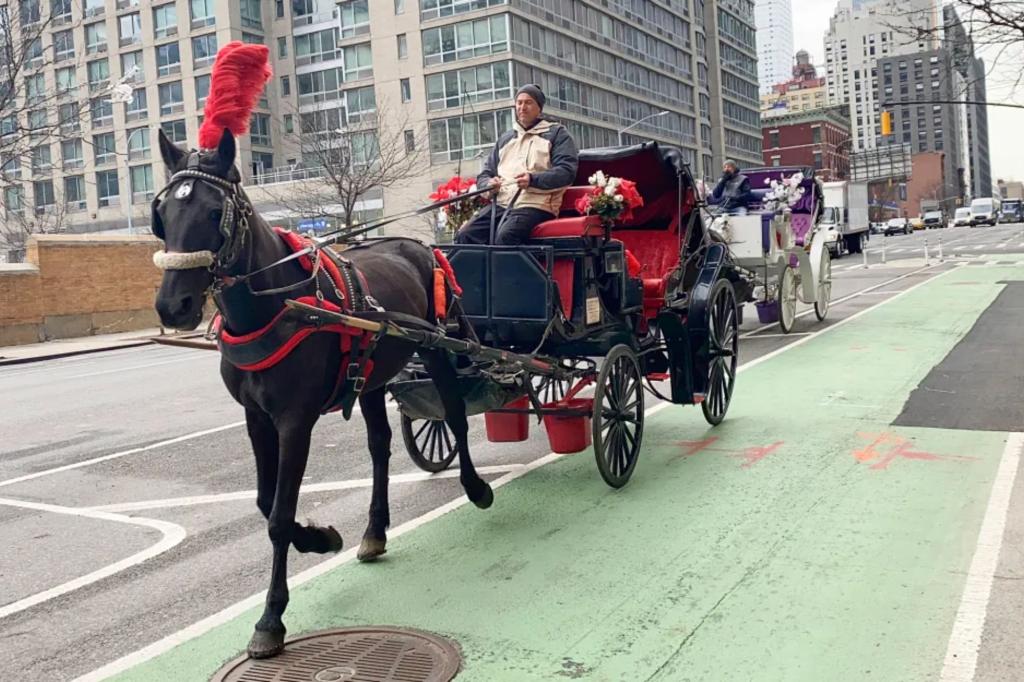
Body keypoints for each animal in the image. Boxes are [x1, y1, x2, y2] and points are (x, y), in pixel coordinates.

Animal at [149, 125, 493, 655]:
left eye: (212, 211)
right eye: (162, 214)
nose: (173, 306)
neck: (280, 305)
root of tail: (418, 244)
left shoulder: (296, 421)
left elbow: (277, 515)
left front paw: (271, 616)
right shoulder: (256, 418)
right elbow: (266, 502)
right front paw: (319, 538)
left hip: (436, 346)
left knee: (453, 413)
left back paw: (476, 487)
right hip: (372, 374)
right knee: (379, 447)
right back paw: (374, 531)